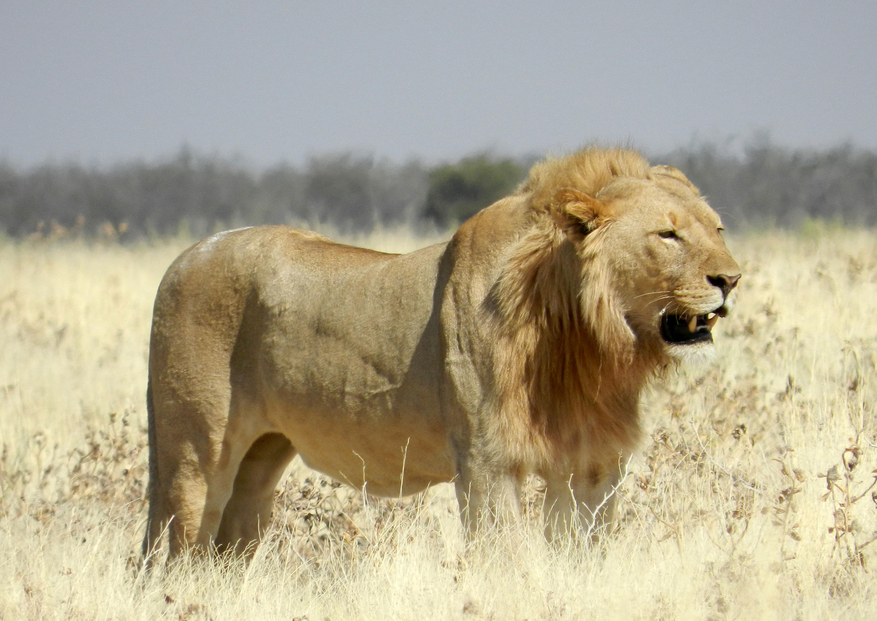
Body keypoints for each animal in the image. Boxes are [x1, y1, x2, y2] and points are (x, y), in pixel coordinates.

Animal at [144, 148, 740, 560]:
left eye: (717, 228)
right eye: (667, 235)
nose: (731, 279)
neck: (584, 343)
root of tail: (183, 258)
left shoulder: (595, 463)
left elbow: (581, 554)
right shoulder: (487, 460)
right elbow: (504, 558)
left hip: (262, 458)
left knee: (228, 546)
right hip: (195, 453)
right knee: (176, 551)